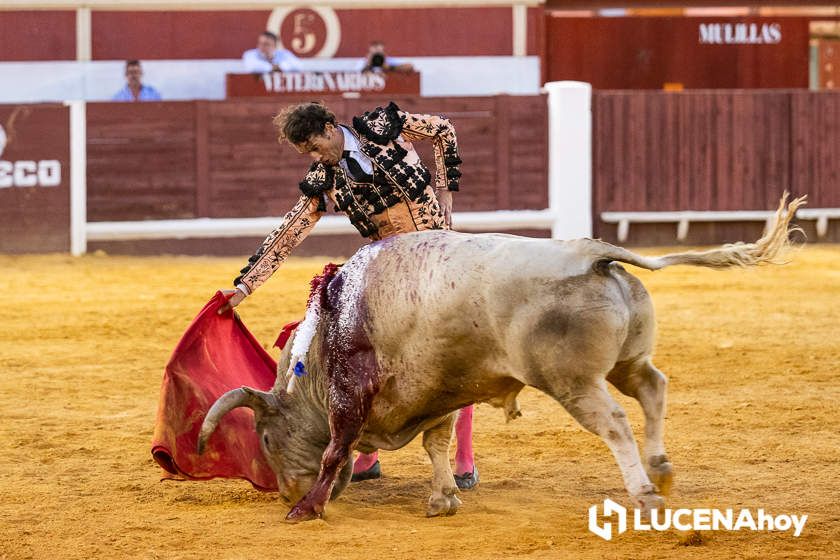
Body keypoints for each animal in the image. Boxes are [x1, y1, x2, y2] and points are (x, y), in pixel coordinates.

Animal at [197, 195, 808, 524]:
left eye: (267, 439)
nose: (285, 491)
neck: (326, 337)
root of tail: (592, 252)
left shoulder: (353, 393)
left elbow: (335, 451)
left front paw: (307, 509)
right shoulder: (434, 388)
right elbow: (437, 442)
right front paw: (442, 498)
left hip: (572, 380)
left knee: (614, 422)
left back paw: (644, 491)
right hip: (623, 362)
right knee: (653, 385)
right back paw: (660, 467)